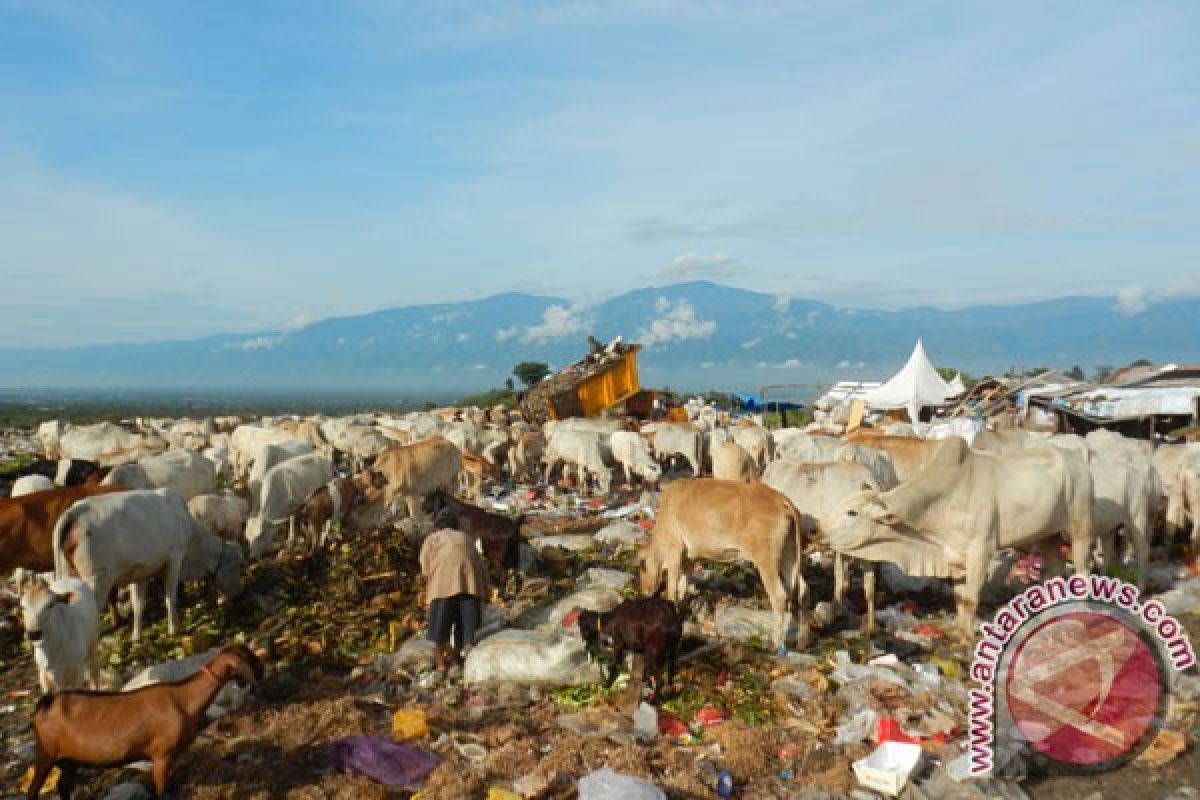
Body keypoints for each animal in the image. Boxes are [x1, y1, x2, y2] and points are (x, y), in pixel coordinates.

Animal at [25, 642, 262, 800]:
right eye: (249, 659)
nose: (261, 673)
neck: (183, 698)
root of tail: (45, 703)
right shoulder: (161, 755)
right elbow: (160, 792)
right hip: (45, 754)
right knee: (33, 791)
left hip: (68, 760)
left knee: (63, 787)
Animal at [53, 484, 243, 642]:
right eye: (238, 565)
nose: (238, 593)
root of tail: (74, 512)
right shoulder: (174, 560)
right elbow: (170, 598)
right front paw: (174, 629)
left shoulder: (141, 573)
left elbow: (138, 605)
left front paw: (136, 637)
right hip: (97, 581)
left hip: (70, 576)